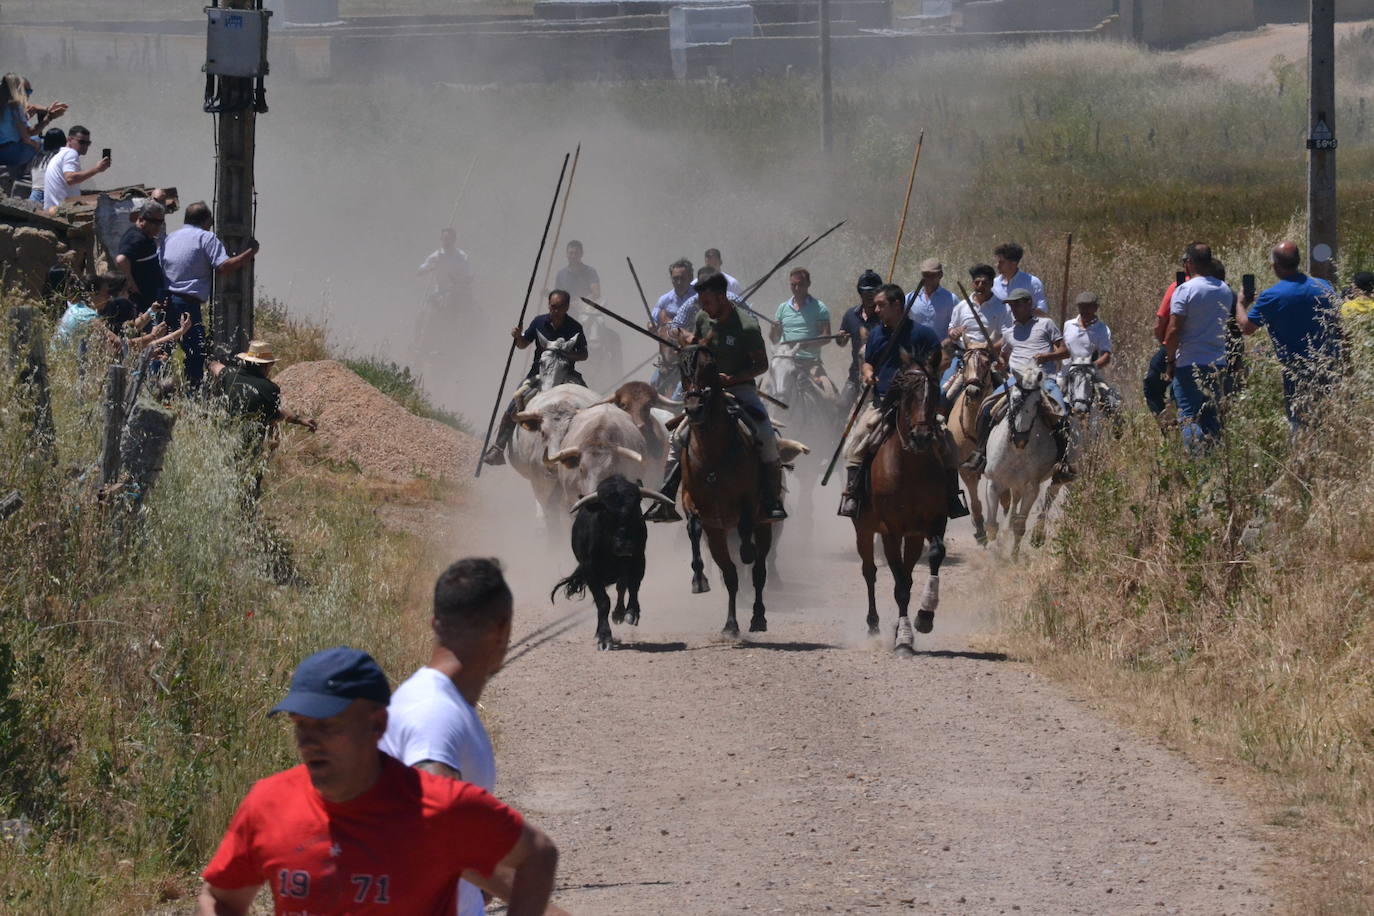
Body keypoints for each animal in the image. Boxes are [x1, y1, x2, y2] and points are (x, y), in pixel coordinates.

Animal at [676, 343, 774, 637]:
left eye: (710, 366)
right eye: (681, 367)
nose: (694, 408)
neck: (712, 453)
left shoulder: (749, 502)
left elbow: (745, 525)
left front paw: (746, 550)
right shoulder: (693, 502)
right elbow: (693, 527)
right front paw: (698, 579)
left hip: (765, 527)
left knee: (759, 572)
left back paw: (758, 617)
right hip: (717, 536)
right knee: (730, 575)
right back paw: (731, 624)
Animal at [851, 362, 950, 656]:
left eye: (935, 393)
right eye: (908, 396)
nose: (921, 437)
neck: (911, 467)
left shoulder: (933, 522)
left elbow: (934, 555)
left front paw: (924, 617)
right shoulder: (890, 531)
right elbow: (900, 586)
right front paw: (904, 639)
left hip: (913, 535)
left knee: (906, 572)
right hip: (863, 530)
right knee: (869, 571)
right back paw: (873, 626)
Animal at [989, 368, 1060, 560]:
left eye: (1037, 402)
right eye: (1013, 398)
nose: (1020, 439)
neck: (1016, 451)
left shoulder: (1031, 488)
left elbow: (1019, 527)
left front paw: (1013, 557)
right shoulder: (994, 482)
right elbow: (991, 525)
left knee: (1051, 495)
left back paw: (1038, 536)